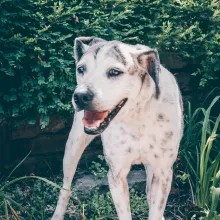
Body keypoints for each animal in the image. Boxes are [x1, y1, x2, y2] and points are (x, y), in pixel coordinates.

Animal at [51, 37, 182, 219]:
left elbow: (155, 208)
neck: (137, 118)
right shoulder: (116, 175)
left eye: (114, 72)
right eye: (81, 69)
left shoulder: (162, 173)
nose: (80, 96)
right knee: (66, 187)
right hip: (73, 147)